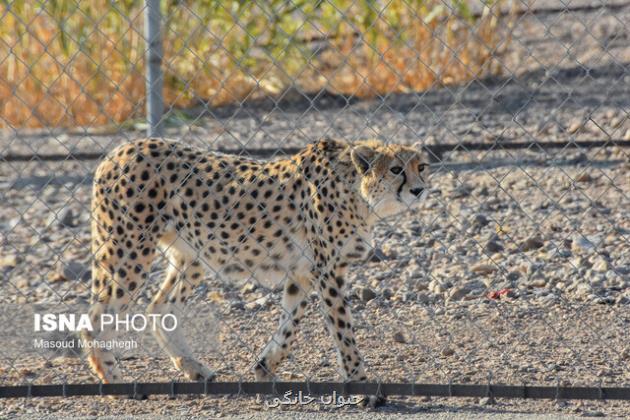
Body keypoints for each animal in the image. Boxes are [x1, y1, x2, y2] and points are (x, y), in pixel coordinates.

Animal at [82, 137, 430, 384]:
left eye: (422, 166)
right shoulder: (328, 271)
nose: (418, 190)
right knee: (95, 318)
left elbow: (290, 325)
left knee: (160, 307)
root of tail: (120, 149)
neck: (359, 192)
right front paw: (359, 379)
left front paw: (265, 365)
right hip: (128, 251)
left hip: (191, 256)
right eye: (396, 169)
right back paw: (113, 378)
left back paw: (194, 368)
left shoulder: (303, 272)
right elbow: (342, 328)